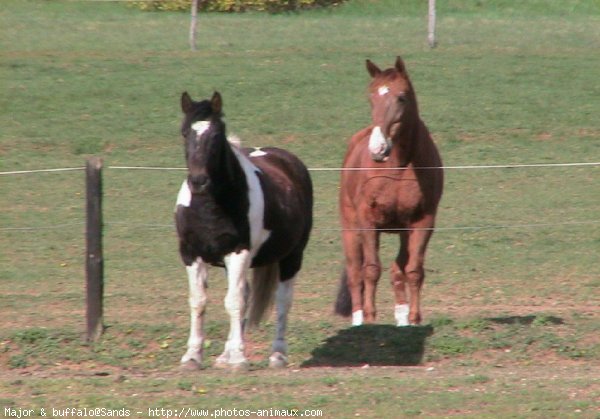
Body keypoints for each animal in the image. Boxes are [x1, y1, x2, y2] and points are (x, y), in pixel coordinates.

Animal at [175, 92, 312, 370]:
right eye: (185, 132)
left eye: (217, 134)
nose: (198, 182)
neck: (209, 206)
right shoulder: (191, 254)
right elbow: (199, 302)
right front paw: (192, 356)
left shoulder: (239, 252)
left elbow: (234, 302)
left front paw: (238, 358)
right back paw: (225, 355)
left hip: (292, 256)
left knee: (282, 300)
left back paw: (277, 355)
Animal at [336, 55, 442, 326]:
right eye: (371, 96)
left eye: (401, 97)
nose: (378, 148)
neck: (398, 167)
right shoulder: (368, 222)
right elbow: (371, 270)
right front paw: (370, 318)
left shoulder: (423, 222)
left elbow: (413, 271)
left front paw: (414, 319)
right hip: (351, 228)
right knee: (355, 274)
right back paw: (358, 319)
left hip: (403, 231)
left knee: (397, 271)